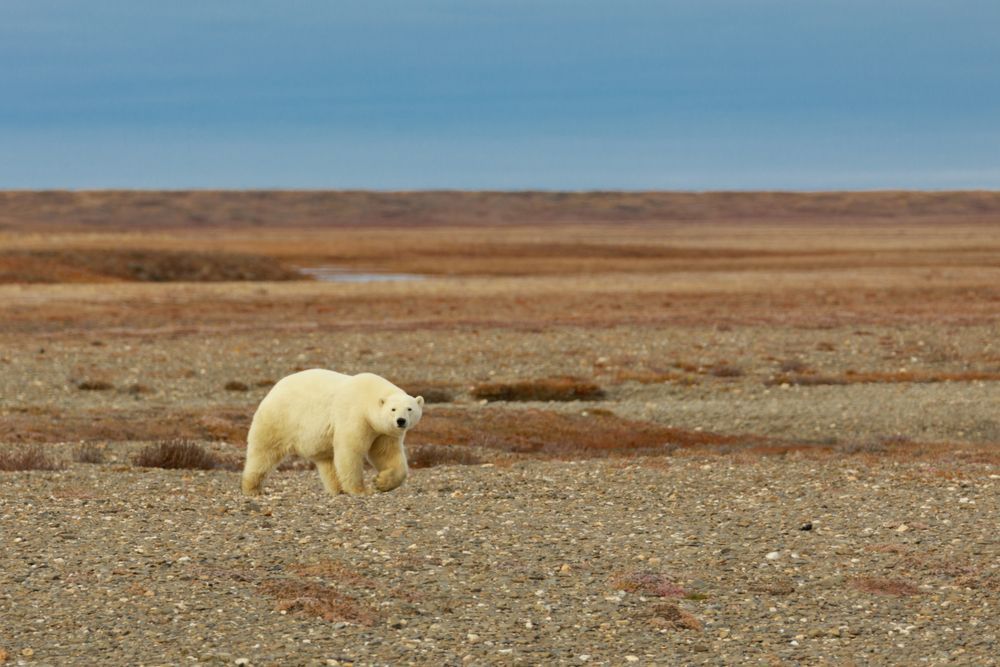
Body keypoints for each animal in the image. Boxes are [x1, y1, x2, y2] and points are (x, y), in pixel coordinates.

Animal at [241, 369, 423, 497]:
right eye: (393, 409)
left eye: (409, 409)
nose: (401, 421)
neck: (368, 396)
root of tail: (273, 389)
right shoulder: (355, 416)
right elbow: (350, 451)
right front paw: (361, 490)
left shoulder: (383, 432)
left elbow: (387, 454)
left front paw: (381, 482)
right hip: (280, 419)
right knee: (264, 453)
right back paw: (252, 488)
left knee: (327, 462)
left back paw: (337, 489)